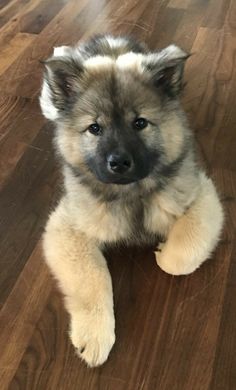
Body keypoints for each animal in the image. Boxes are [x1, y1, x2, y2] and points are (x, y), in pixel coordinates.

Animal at [39, 35, 224, 368]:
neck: (131, 193)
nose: (119, 162)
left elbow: (181, 259)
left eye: (139, 123)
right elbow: (93, 278)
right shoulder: (67, 227)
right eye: (95, 128)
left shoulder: (201, 194)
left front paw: (164, 253)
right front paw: (95, 337)